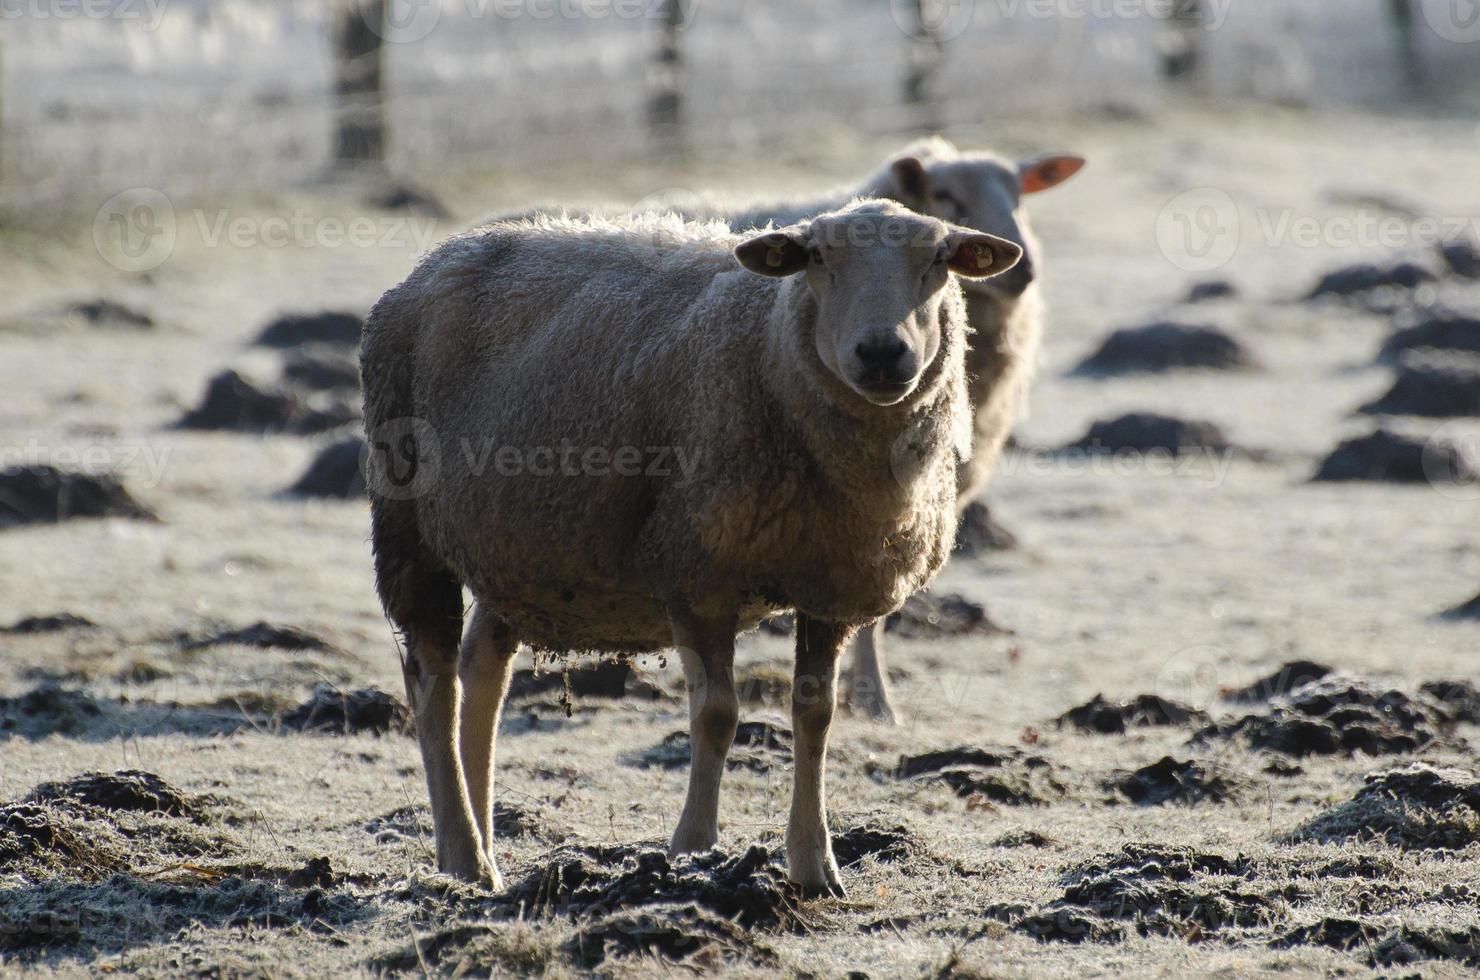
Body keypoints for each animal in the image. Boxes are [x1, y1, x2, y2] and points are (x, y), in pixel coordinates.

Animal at [364, 199, 1024, 900]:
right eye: (818, 257)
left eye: (939, 260)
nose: (880, 351)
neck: (769, 348)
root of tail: (440, 258)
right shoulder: (696, 573)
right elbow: (716, 715)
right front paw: (694, 849)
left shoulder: (830, 586)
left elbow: (815, 716)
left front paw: (814, 864)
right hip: (408, 530)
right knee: (435, 687)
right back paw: (464, 856)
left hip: (517, 552)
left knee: (483, 679)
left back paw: (484, 849)